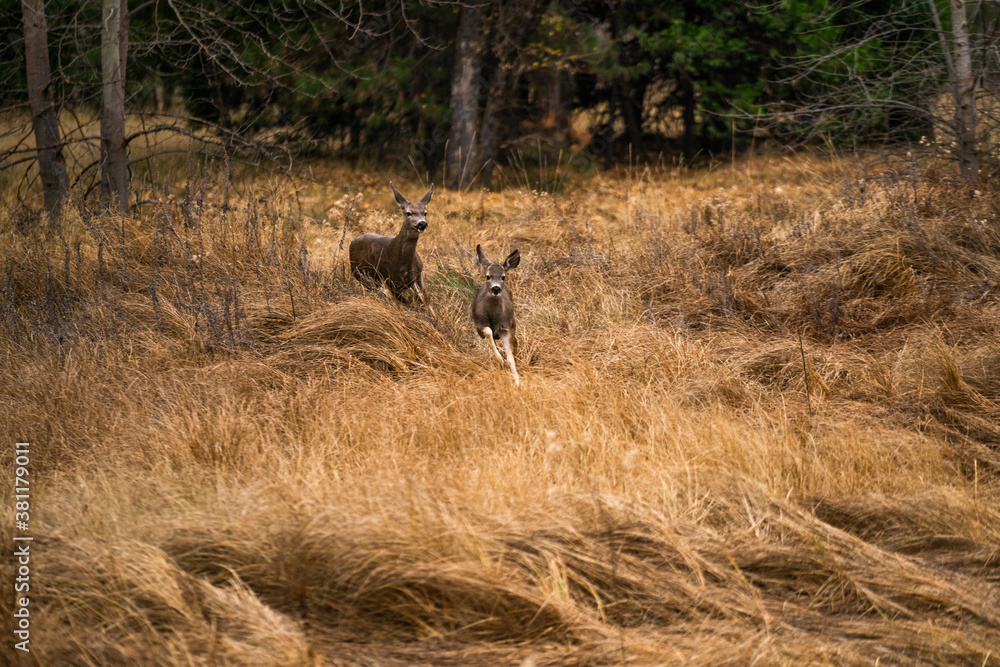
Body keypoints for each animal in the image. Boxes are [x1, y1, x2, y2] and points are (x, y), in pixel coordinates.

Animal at [472, 244, 521, 386]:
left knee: (515, 342)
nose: (496, 288)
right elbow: (489, 332)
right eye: (488, 276)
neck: (493, 317)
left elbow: (510, 357)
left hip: (513, 324)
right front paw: (500, 360)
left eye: (503, 276)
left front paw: (518, 381)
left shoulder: (506, 329)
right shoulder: (479, 325)